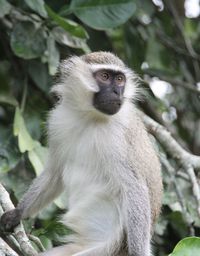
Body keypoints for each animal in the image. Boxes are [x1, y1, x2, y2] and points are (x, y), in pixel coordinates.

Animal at [0, 51, 162, 255]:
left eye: (119, 80)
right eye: (104, 76)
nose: (117, 92)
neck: (90, 117)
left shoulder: (118, 140)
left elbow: (135, 188)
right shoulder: (57, 121)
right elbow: (54, 173)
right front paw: (17, 213)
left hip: (105, 249)